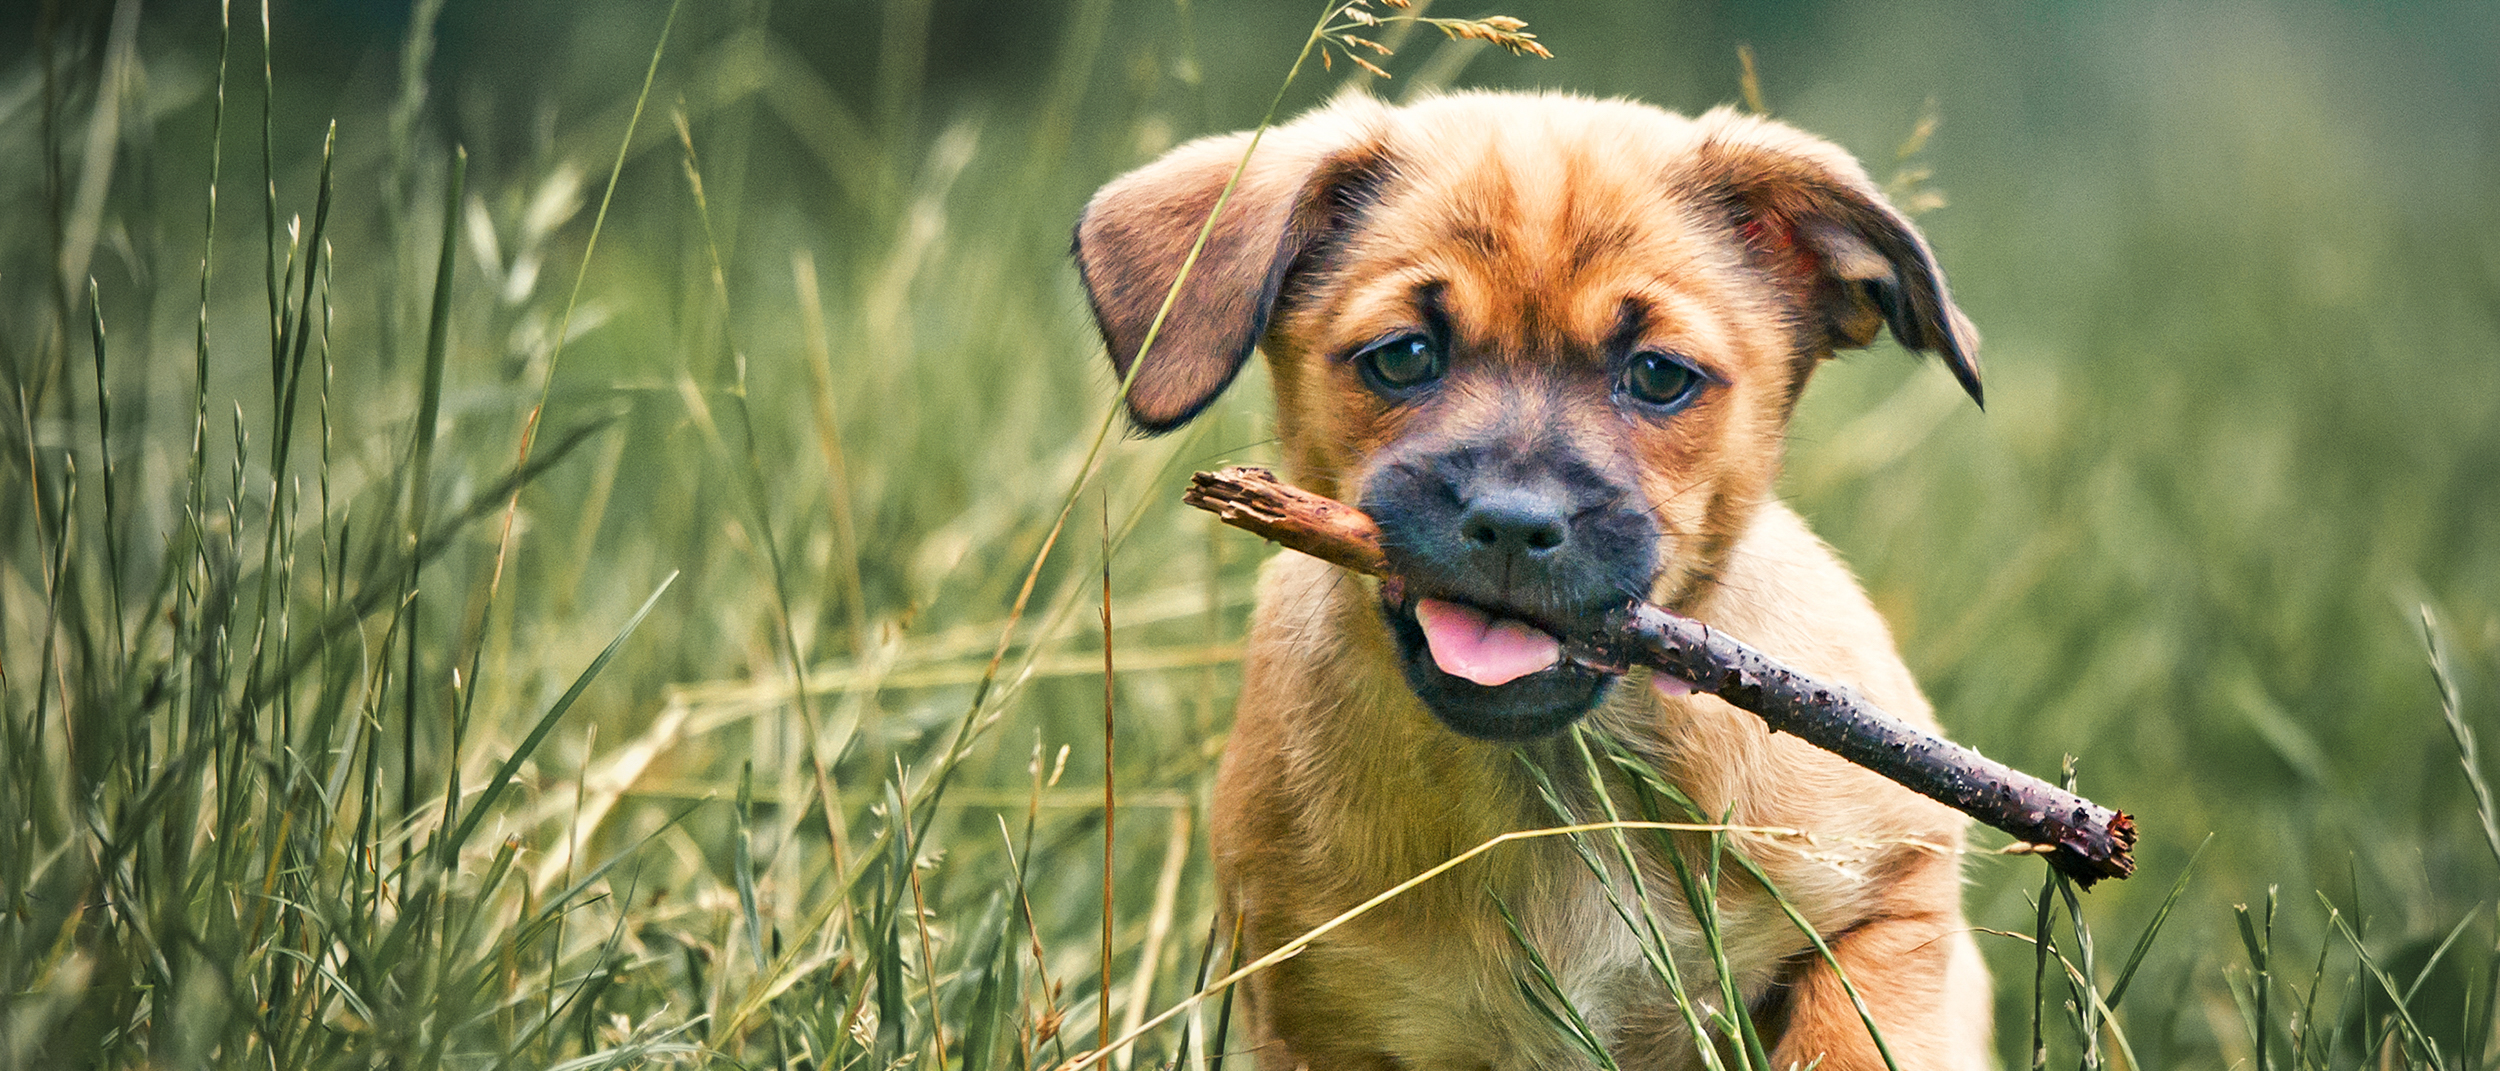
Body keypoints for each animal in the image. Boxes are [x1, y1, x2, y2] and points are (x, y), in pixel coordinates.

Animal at [1075, 93, 1990, 1071]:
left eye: (1659, 376)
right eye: (1402, 357)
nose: (1514, 523)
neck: (1552, 789)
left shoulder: (1893, 900)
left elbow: (1848, 1035)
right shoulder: (1313, 1010)